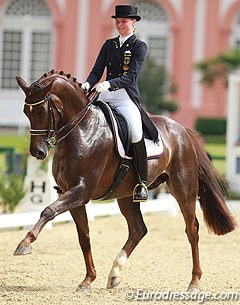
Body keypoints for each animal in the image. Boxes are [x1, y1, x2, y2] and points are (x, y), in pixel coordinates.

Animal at [14, 70, 236, 290]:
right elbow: (84, 236)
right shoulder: (71, 193)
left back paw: (194, 282)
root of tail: (183, 131)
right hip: (127, 195)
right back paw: (114, 273)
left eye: (42, 112)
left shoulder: (81, 191)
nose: (38, 152)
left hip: (184, 190)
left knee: (192, 230)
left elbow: (48, 210)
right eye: (25, 111)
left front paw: (25, 243)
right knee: (138, 229)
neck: (82, 130)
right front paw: (88, 279)